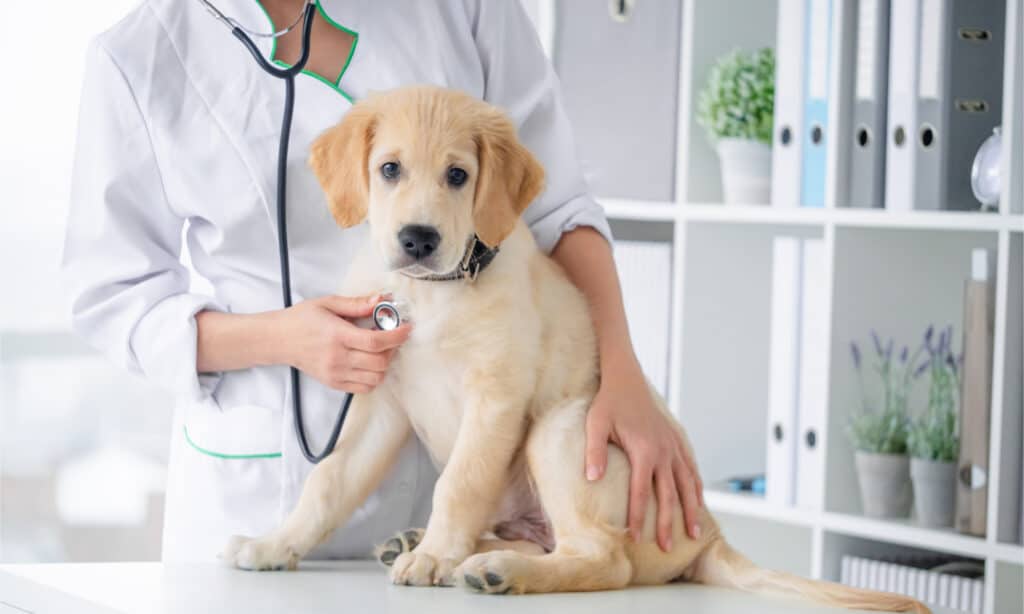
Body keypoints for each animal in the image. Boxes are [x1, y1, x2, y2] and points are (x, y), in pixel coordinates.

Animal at [220, 87, 933, 614]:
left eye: (458, 175)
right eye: (388, 168)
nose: (418, 239)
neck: (432, 293)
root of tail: (708, 530)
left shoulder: (497, 399)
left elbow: (460, 482)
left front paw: (436, 555)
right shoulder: (377, 403)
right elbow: (328, 484)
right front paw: (277, 544)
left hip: (559, 429)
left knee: (602, 557)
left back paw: (489, 568)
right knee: (560, 543)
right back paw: (439, 544)